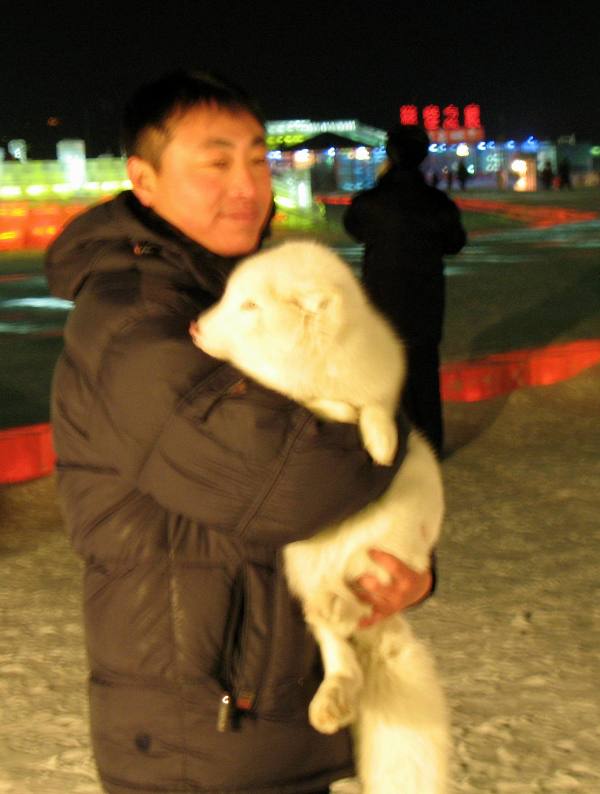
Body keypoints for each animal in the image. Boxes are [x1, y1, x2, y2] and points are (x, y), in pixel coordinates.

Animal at [190, 241, 448, 792]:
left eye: (249, 305)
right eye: (228, 296)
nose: (195, 327)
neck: (308, 366)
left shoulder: (382, 380)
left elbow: (377, 408)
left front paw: (380, 440)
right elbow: (322, 405)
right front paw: (340, 413)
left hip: (391, 534)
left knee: (355, 593)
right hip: (300, 564)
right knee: (335, 643)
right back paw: (332, 689)